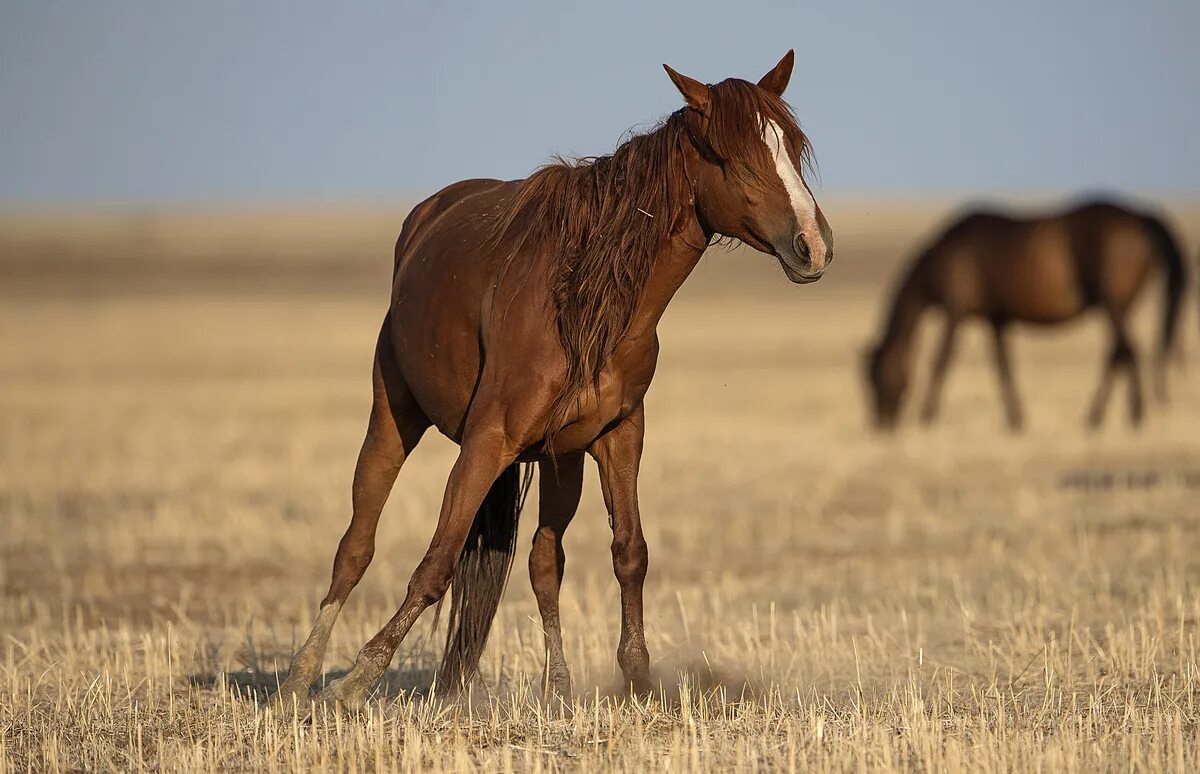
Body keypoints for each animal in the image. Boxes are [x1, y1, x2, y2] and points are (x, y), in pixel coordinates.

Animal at [272, 49, 835, 710]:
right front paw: (359, 678)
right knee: (355, 545)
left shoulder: (618, 436)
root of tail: (427, 215)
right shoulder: (487, 442)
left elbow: (628, 554)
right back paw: (302, 676)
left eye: (792, 149)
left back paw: (557, 686)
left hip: (559, 459)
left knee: (544, 561)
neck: (584, 298)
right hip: (394, 419)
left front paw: (638, 679)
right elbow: (436, 563)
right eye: (735, 157)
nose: (814, 246)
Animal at [868, 199, 1185, 429]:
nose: (881, 424)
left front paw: (927, 416)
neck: (946, 254)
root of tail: (1139, 218)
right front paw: (1016, 420)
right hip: (1119, 306)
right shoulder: (996, 319)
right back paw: (1107, 416)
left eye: (877, 374)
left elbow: (941, 361)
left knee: (1127, 349)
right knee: (1119, 351)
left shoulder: (955, 311)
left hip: (1113, 303)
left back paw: (1122, 415)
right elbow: (1003, 367)